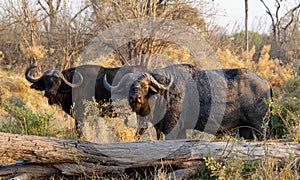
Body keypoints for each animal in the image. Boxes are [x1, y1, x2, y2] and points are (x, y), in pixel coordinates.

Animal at [104, 64, 274, 141]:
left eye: (145, 86)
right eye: (129, 87)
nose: (135, 98)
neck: (164, 95)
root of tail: (265, 82)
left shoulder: (172, 128)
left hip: (260, 127)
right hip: (245, 129)